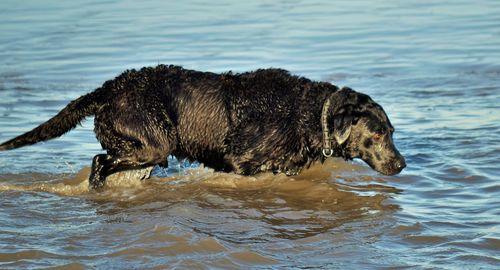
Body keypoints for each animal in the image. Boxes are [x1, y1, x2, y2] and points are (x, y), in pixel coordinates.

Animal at [0, 64, 404, 189]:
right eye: (378, 134)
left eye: (393, 132)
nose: (401, 164)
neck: (308, 113)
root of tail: (109, 89)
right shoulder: (243, 160)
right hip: (153, 142)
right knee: (100, 162)